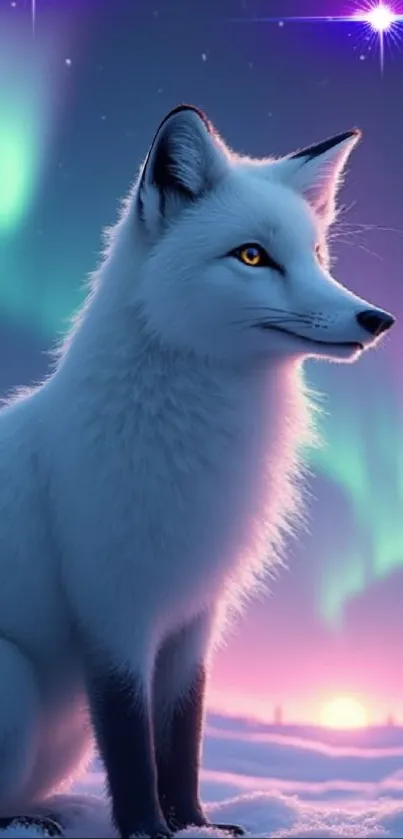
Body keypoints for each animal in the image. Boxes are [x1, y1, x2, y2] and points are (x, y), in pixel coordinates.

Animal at [0, 104, 395, 839]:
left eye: (316, 256)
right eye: (252, 256)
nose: (376, 318)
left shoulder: (195, 611)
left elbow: (182, 730)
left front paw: (194, 823)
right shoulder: (112, 606)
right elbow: (129, 735)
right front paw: (145, 828)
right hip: (13, 678)